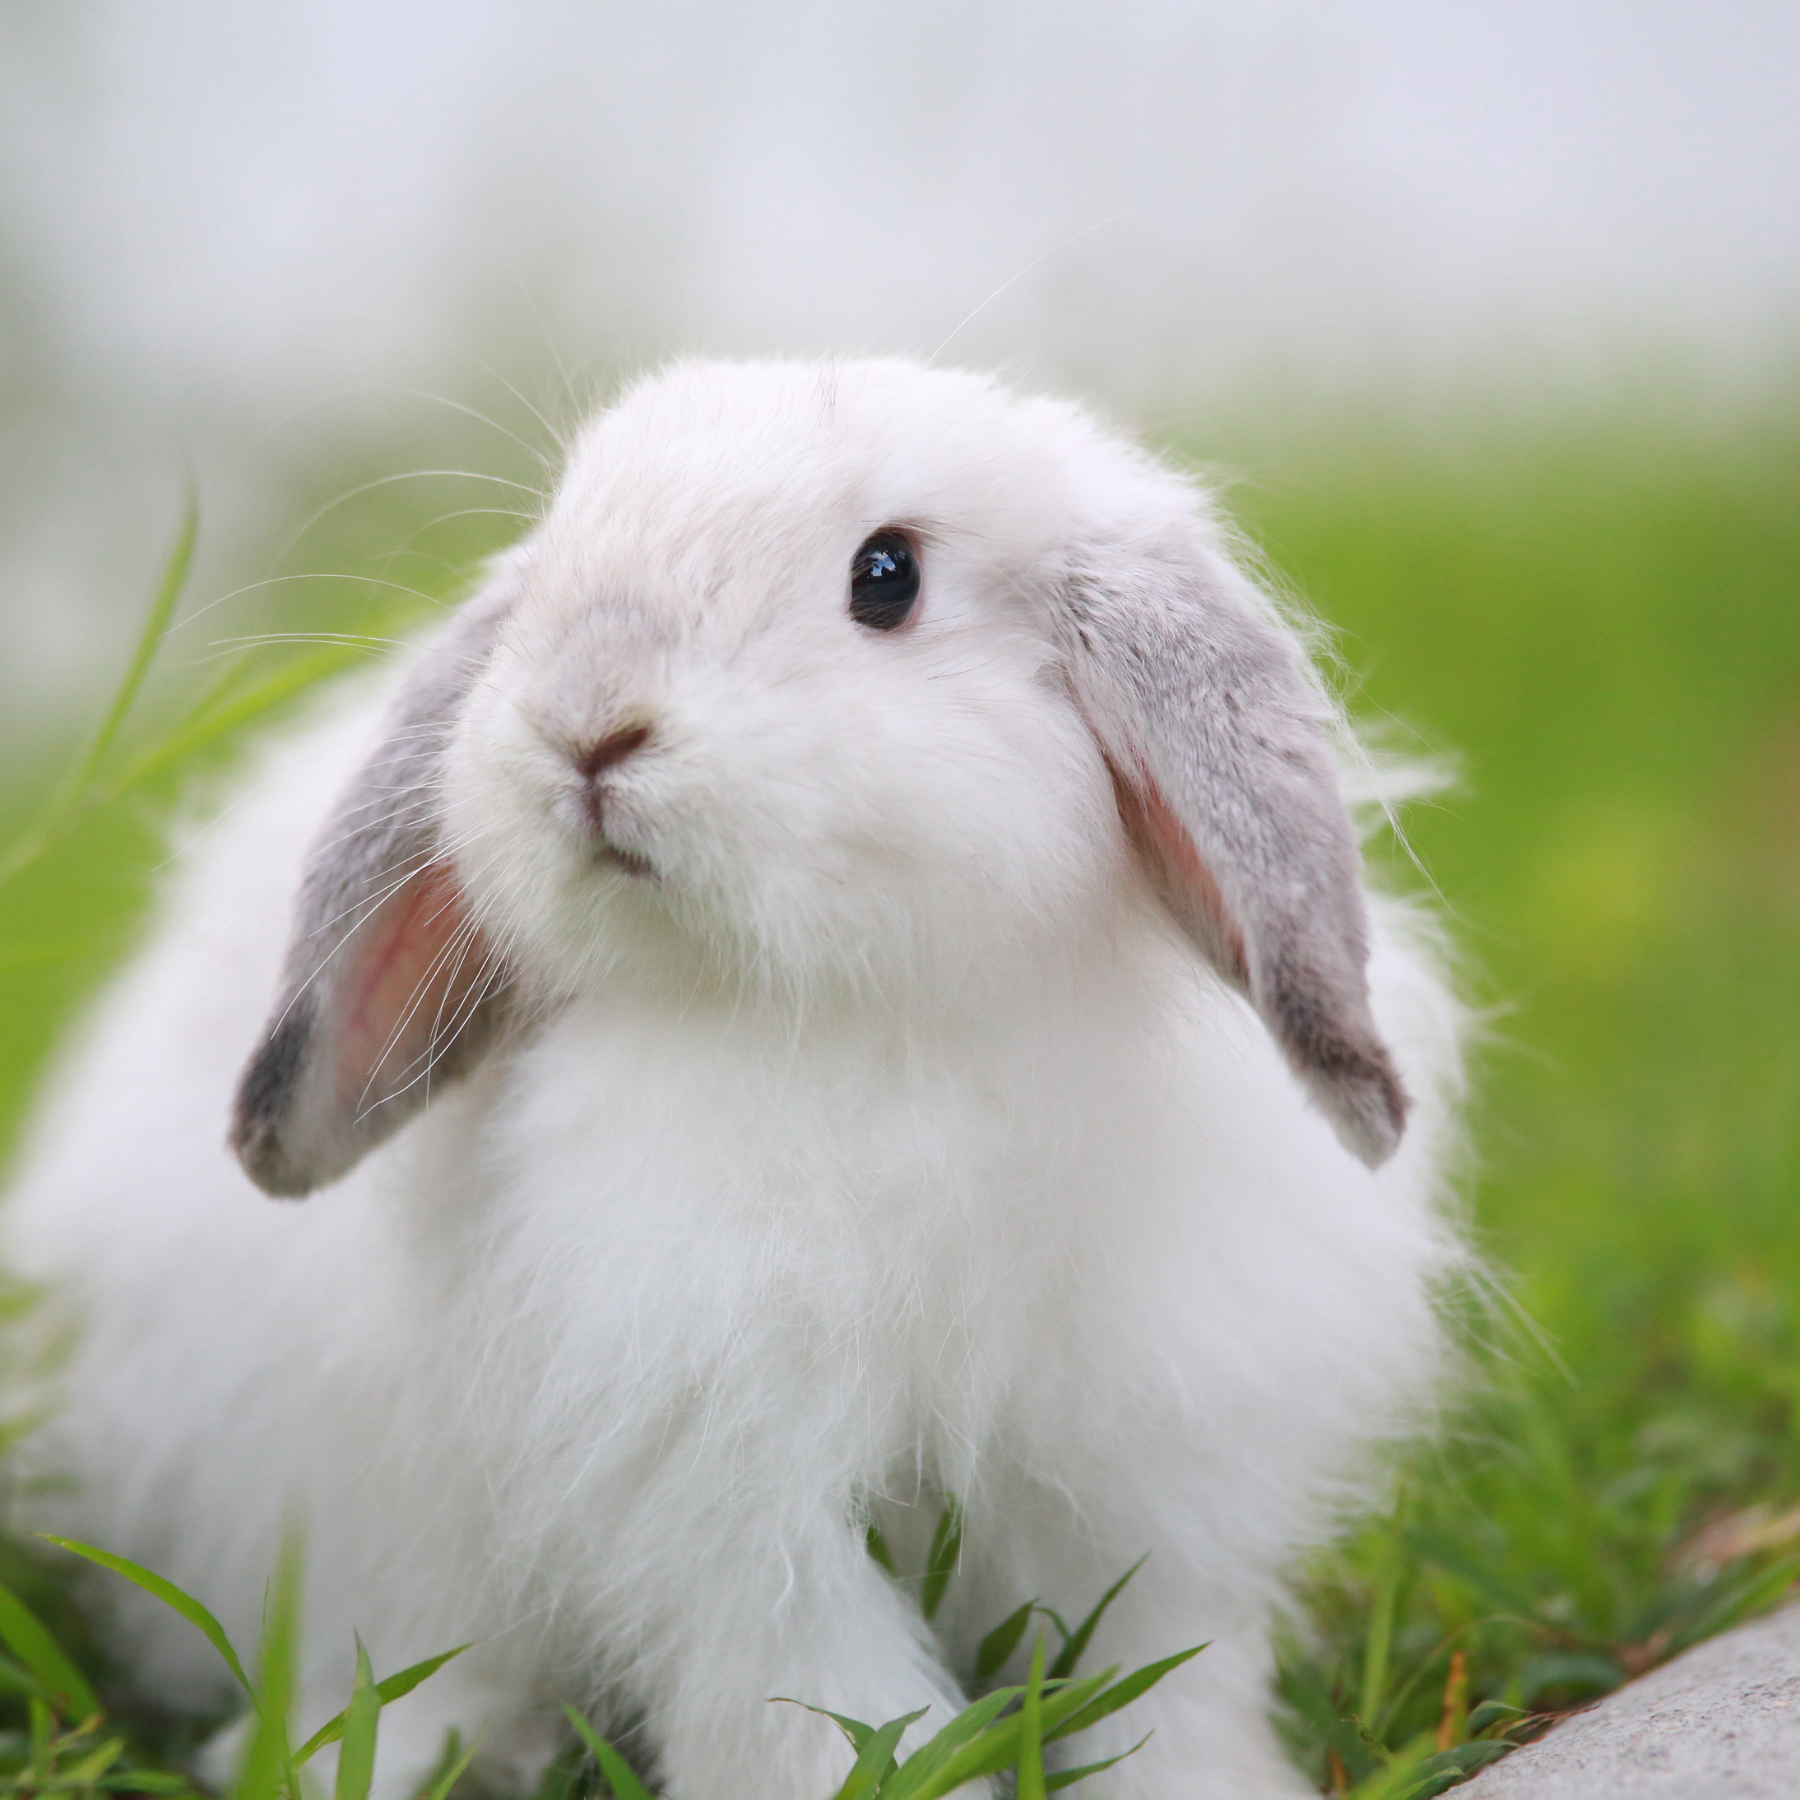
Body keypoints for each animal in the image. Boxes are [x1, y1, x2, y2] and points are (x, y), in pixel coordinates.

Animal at [0, 354, 1461, 1800]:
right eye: (555, 557)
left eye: (887, 576)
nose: (586, 726)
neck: (860, 1018)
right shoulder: (730, 1502)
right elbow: (820, 1697)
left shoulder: (1152, 1479)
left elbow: (1161, 1680)